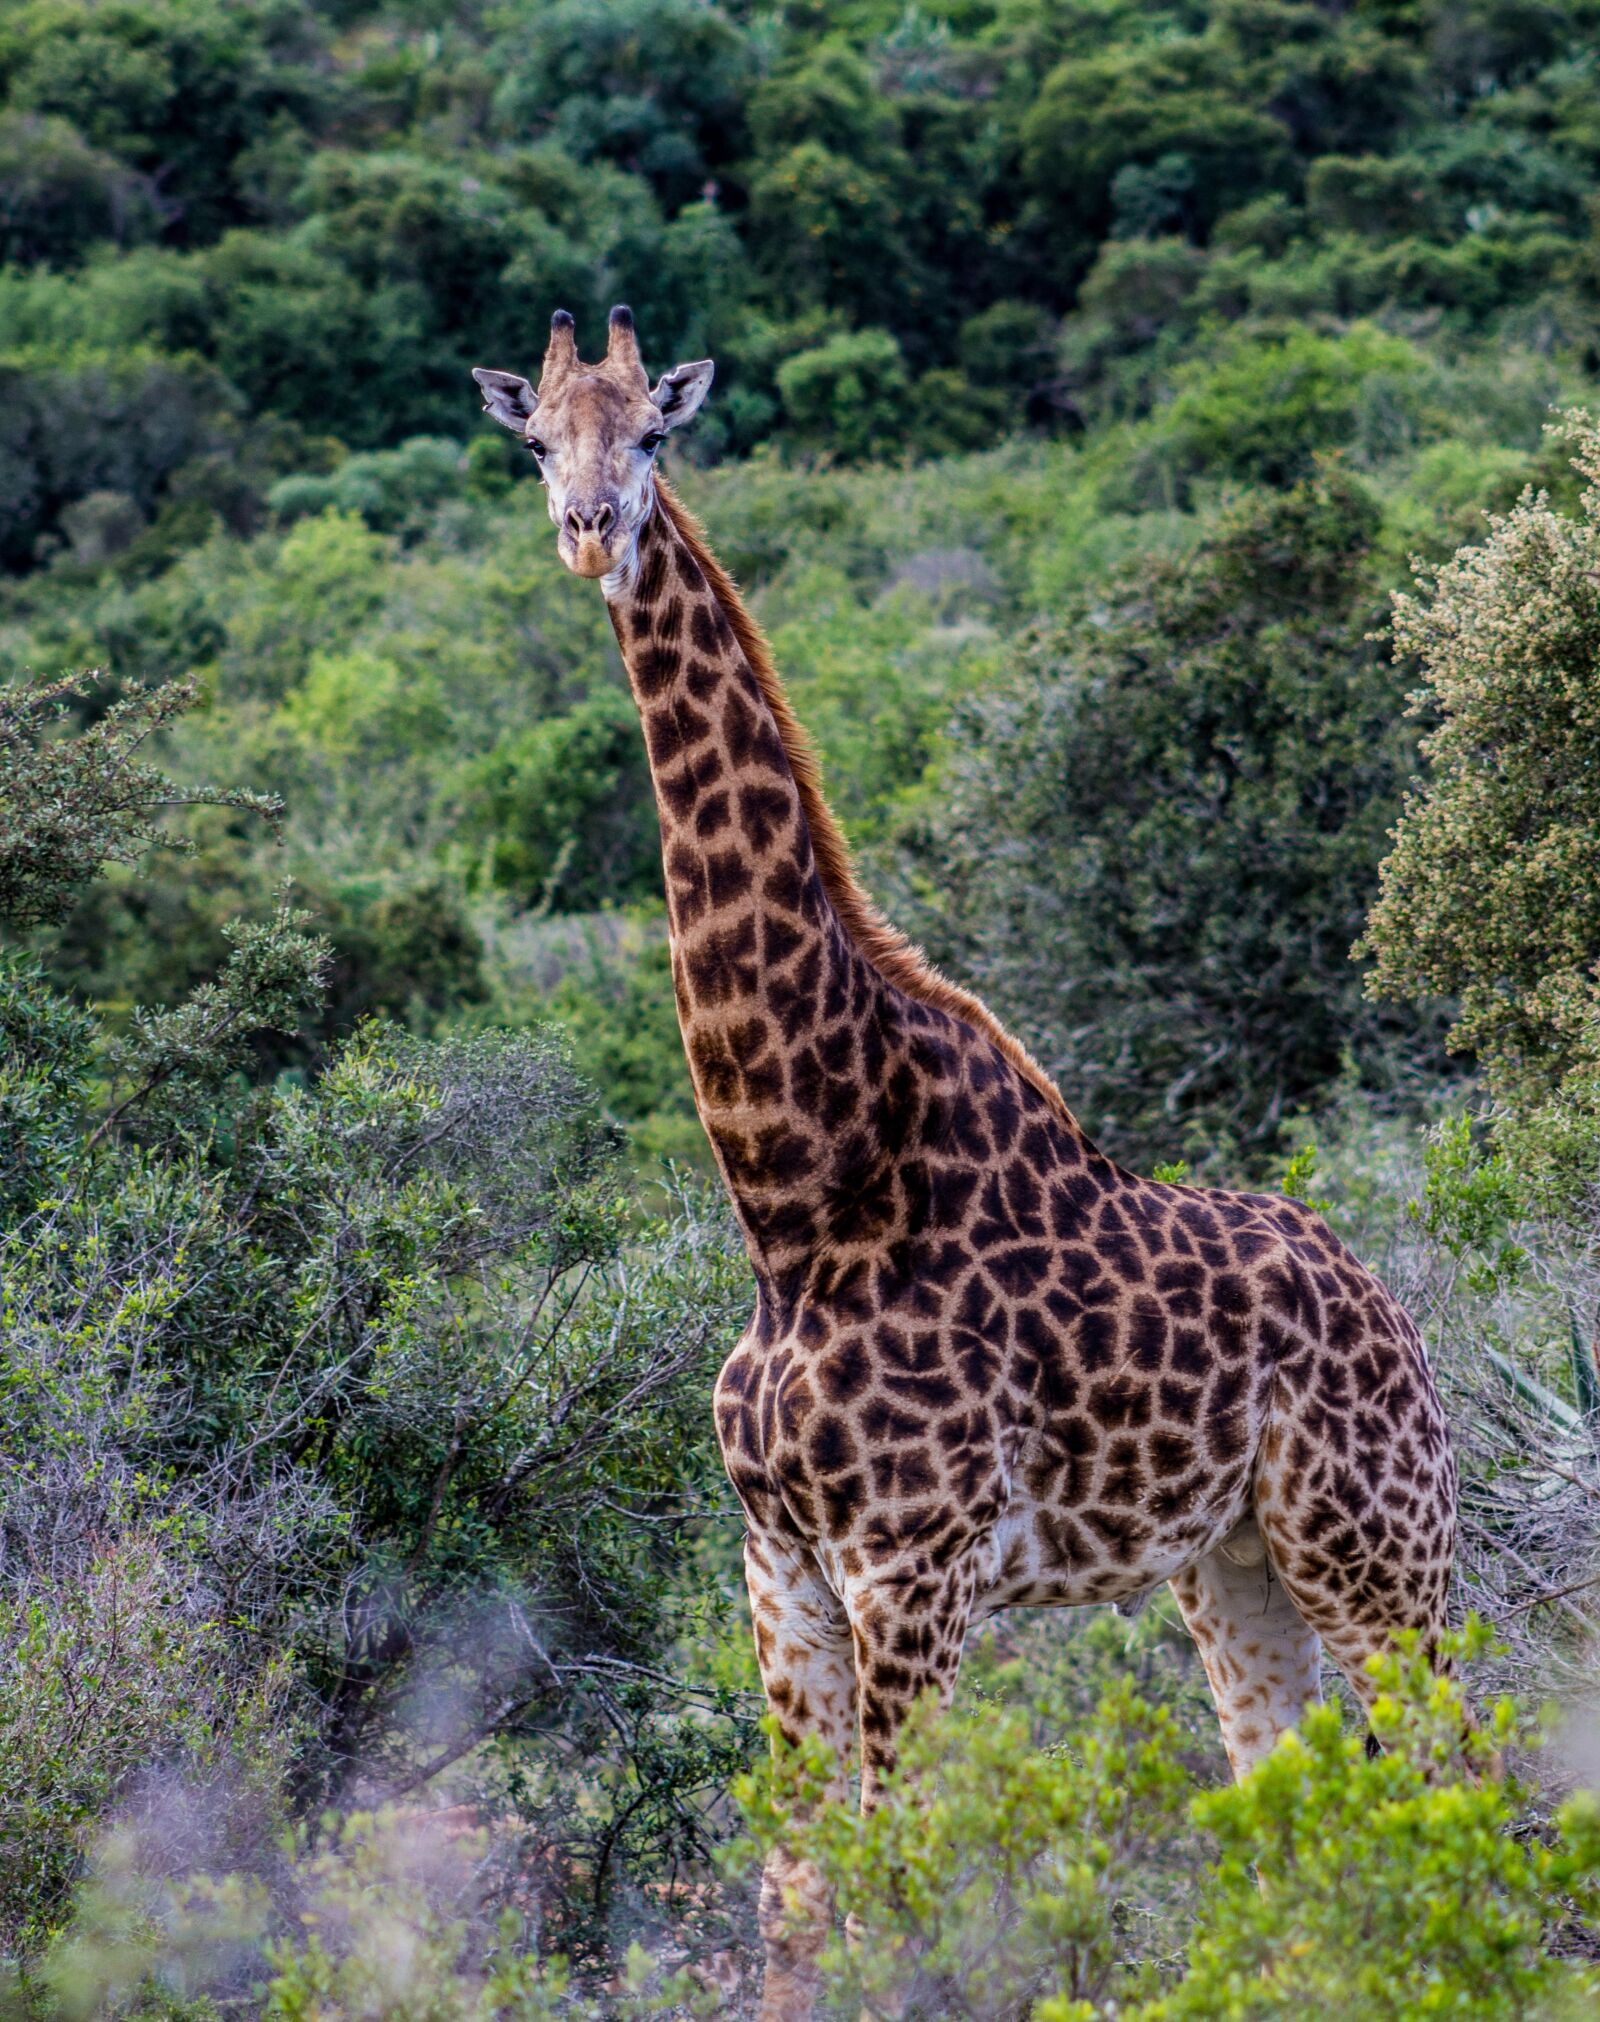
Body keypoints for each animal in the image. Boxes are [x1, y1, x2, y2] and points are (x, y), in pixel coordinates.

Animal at [473, 308, 1458, 2022]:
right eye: (536, 440)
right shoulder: (780, 1566)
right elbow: (797, 1897)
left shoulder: (910, 1572)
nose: (591, 530)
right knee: (1290, 1807)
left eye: (652, 434)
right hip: (1236, 1564)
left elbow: (898, 1886)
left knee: (1469, 1769)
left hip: (1379, 1544)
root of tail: (1394, 1314)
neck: (798, 1194)